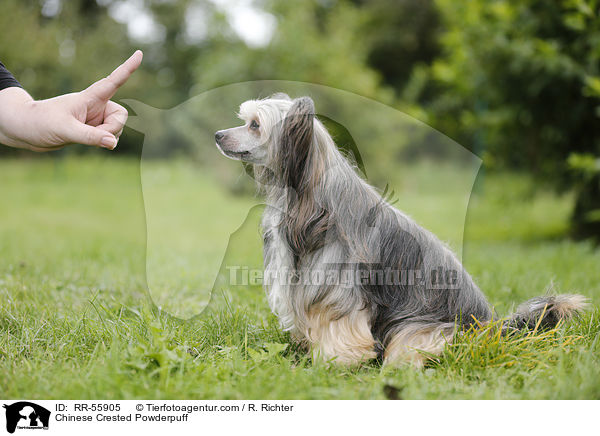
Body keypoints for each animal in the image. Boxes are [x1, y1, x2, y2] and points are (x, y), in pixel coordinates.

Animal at [214, 95, 584, 368]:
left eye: (255, 125)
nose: (218, 135)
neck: (311, 197)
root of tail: (490, 327)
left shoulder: (337, 289)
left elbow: (339, 327)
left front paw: (337, 361)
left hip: (420, 330)